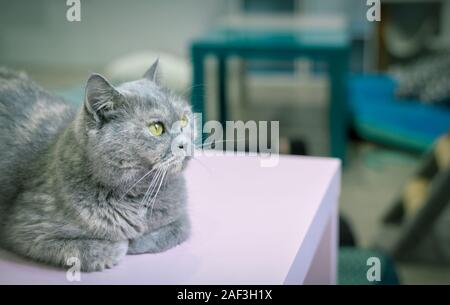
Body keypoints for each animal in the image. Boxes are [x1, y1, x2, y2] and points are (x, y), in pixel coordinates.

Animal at [0, 59, 192, 270]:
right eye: (156, 128)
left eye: (185, 119)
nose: (185, 143)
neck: (136, 195)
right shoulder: (25, 228)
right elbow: (83, 249)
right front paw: (119, 245)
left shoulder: (182, 218)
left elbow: (175, 230)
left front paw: (137, 240)